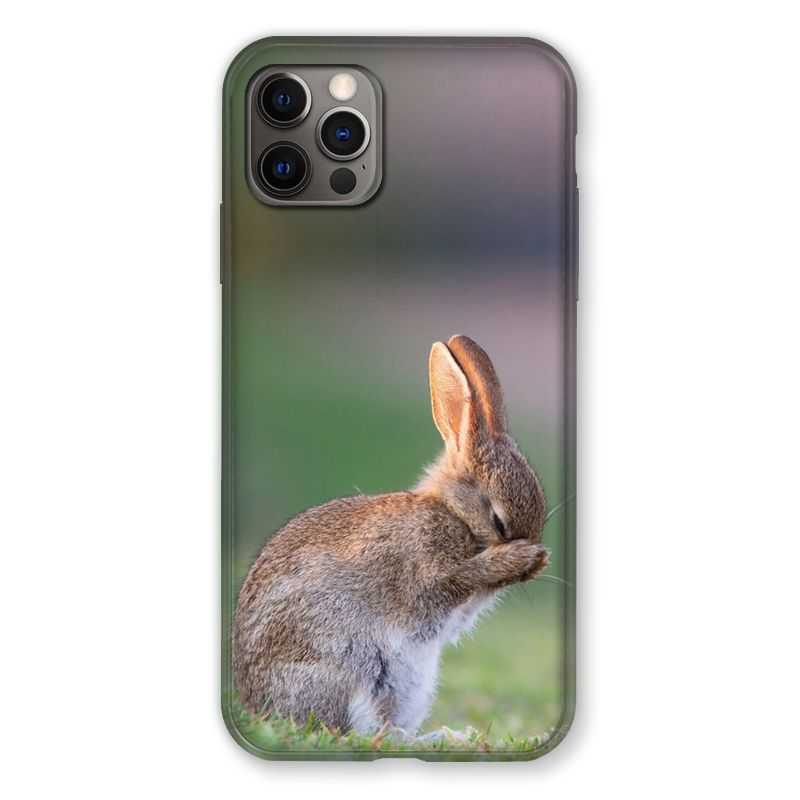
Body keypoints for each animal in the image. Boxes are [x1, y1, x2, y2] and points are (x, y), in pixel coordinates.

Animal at [233, 335, 549, 736]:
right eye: (498, 521)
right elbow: (453, 581)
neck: (453, 512)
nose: (534, 556)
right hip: (353, 667)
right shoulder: (426, 570)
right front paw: (519, 558)